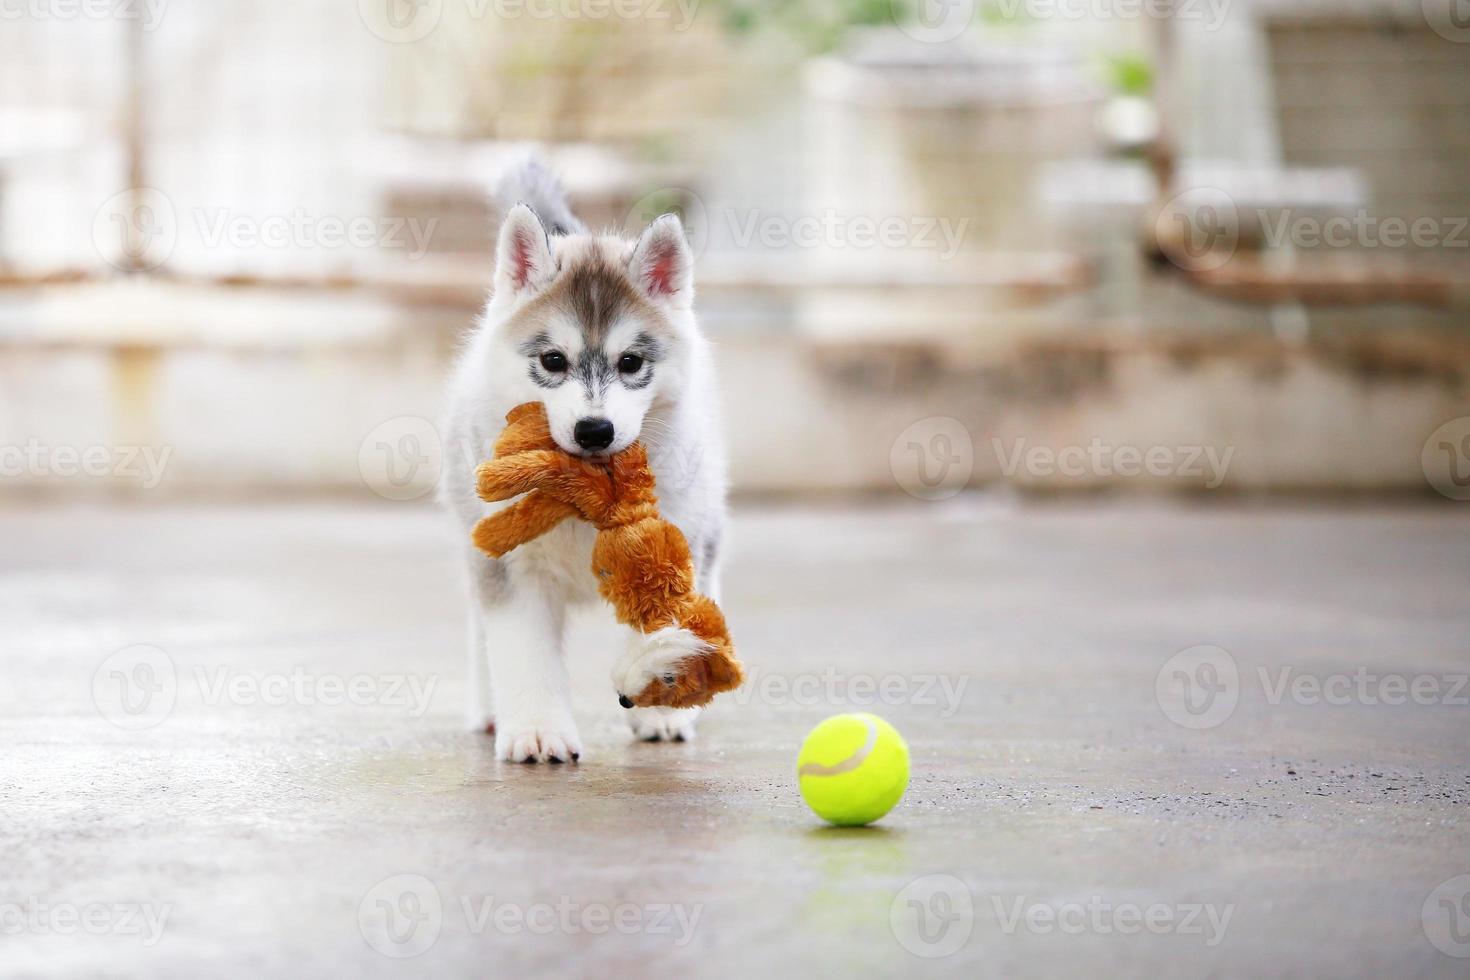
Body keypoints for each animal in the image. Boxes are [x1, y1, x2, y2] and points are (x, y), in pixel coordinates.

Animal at [441, 157, 729, 764]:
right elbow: (522, 651)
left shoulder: (678, 541)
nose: (594, 431)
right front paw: (536, 731)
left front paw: (662, 702)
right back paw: (488, 710)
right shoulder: (511, 565)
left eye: (631, 362)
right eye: (553, 361)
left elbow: (669, 626)